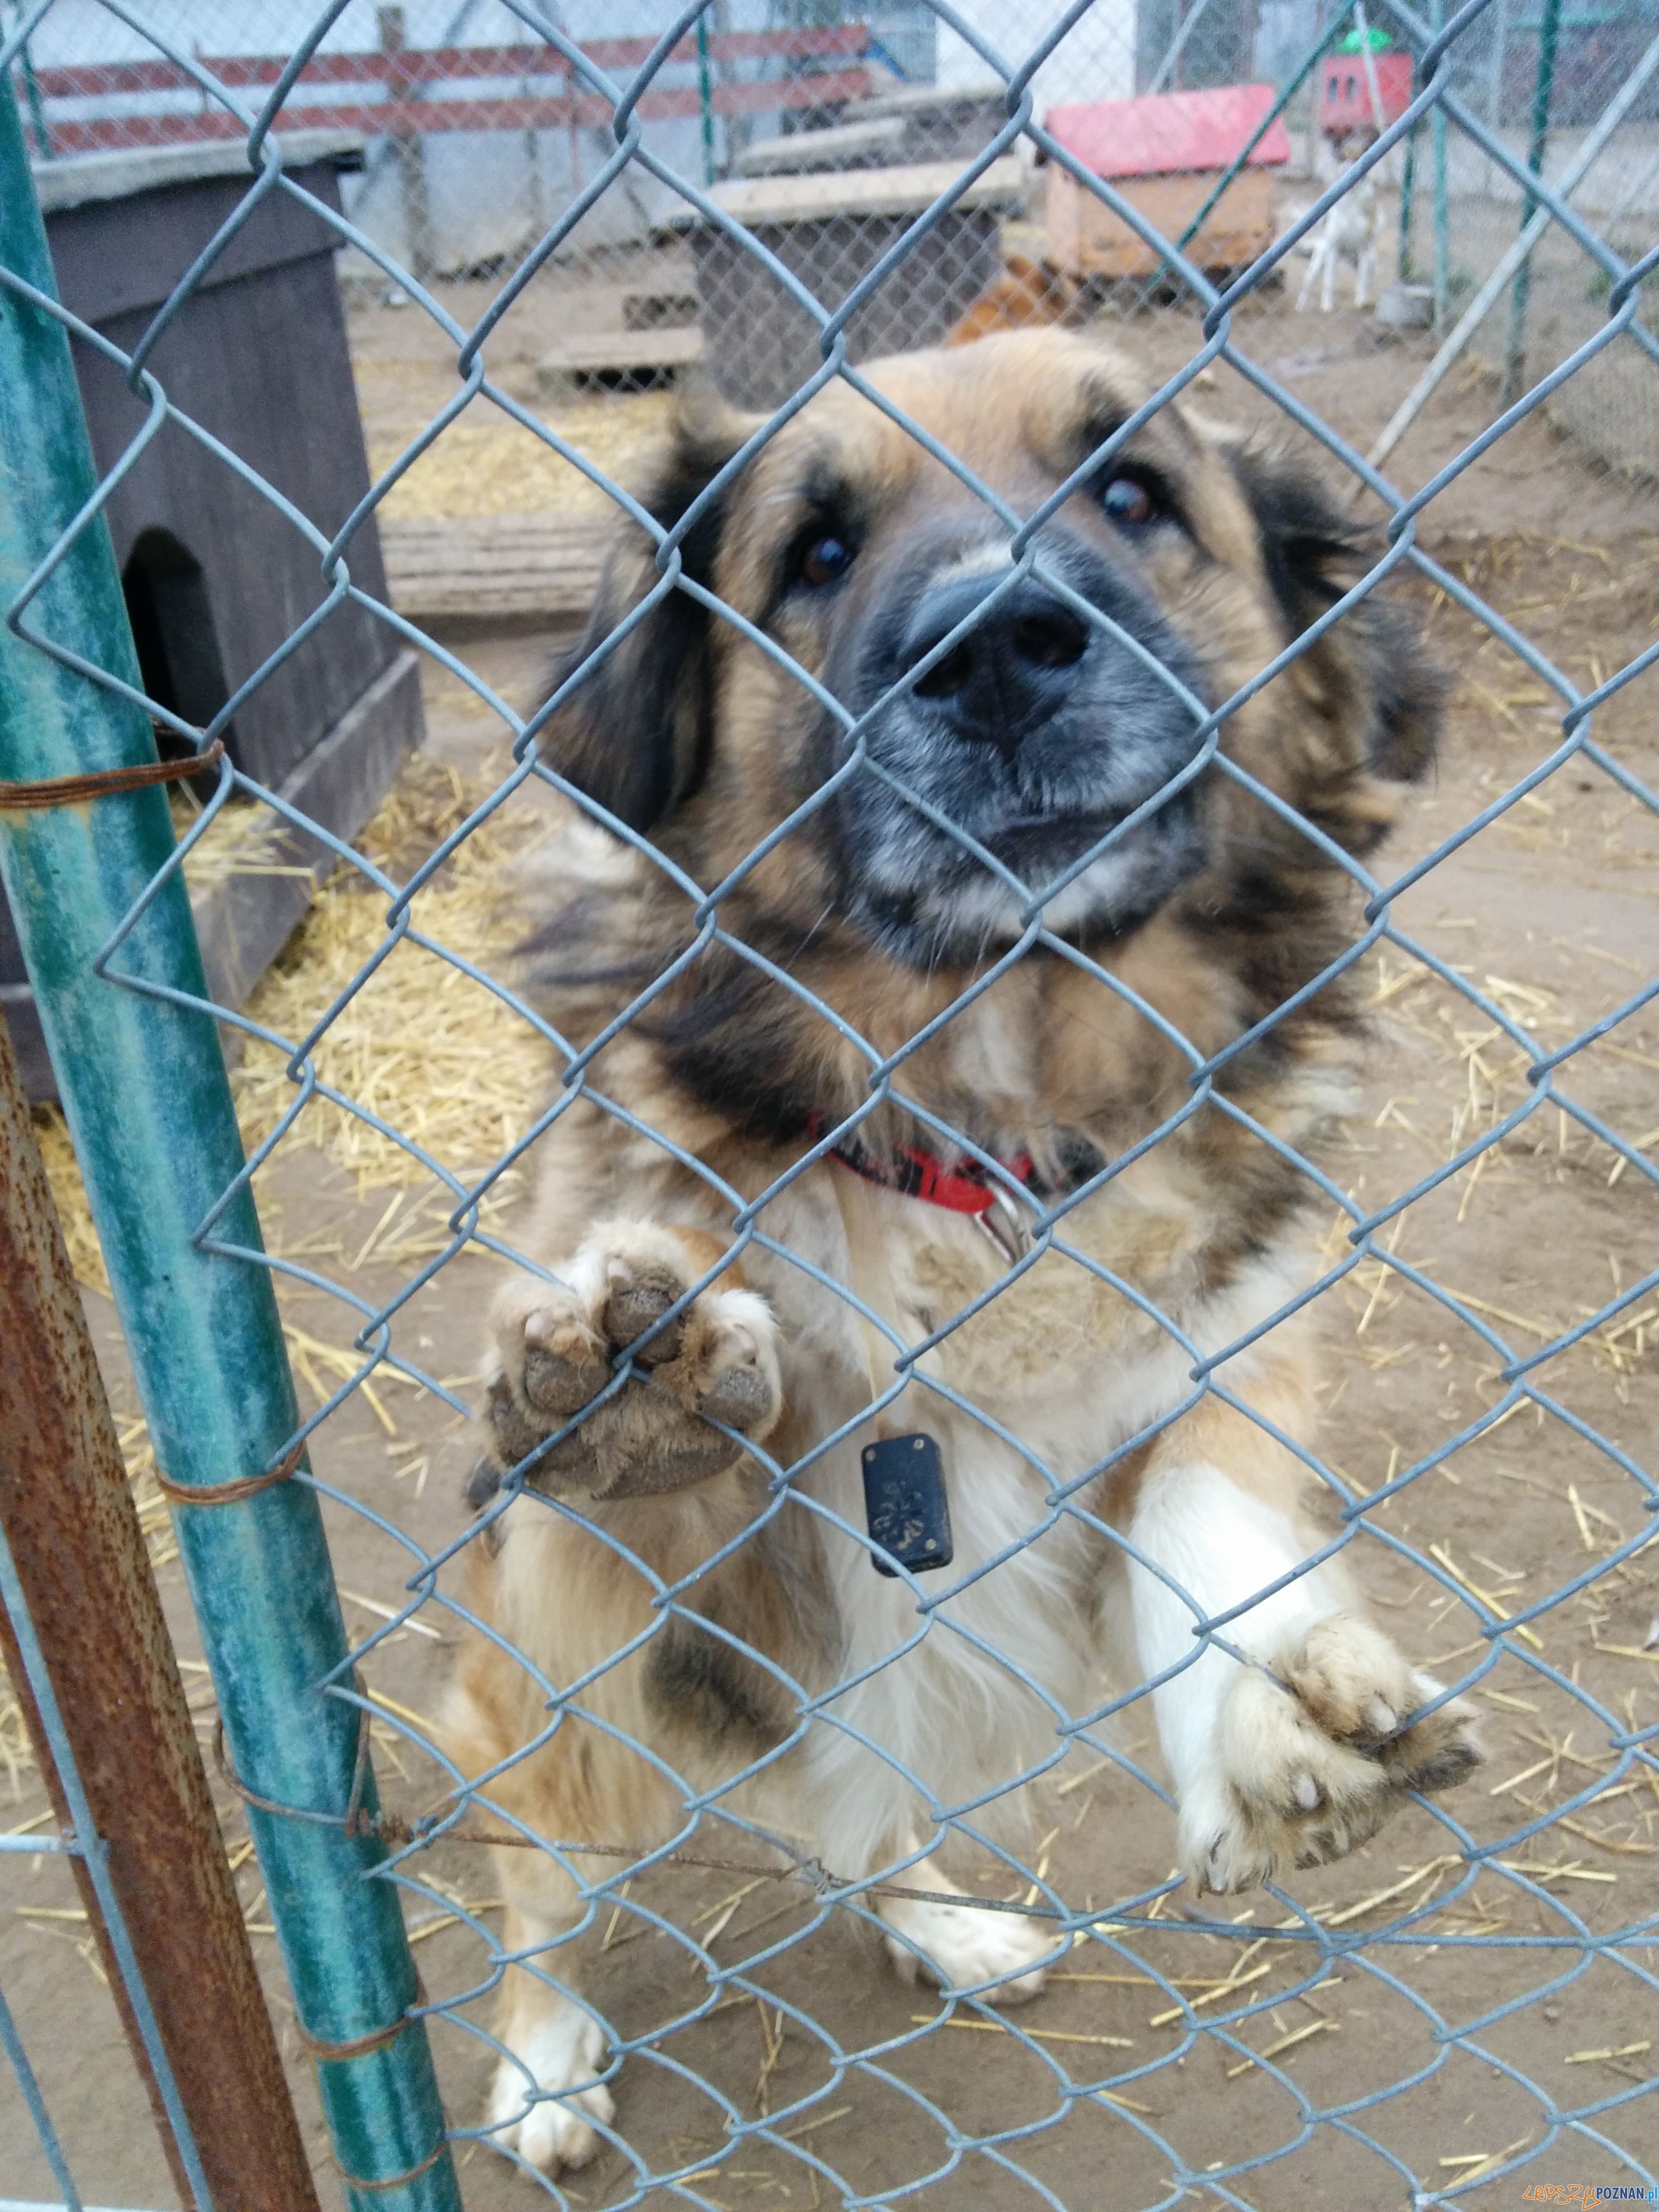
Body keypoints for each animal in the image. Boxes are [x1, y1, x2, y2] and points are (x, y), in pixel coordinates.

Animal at [442, 327, 1477, 2176]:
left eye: (1134, 491)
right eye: (815, 550)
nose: (995, 649)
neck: (983, 1135)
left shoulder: (1230, 1343)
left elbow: (1204, 1493)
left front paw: (1261, 1689)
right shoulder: (648, 1573)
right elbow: (648, 1474)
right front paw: (638, 1386)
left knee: (868, 1818)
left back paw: (942, 1922)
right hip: (545, 1724)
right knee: (541, 1881)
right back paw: (549, 2060)